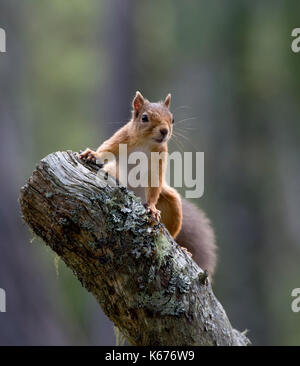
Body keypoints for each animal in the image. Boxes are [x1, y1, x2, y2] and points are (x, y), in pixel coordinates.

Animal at [79, 93, 216, 276]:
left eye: (172, 119)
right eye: (144, 118)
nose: (164, 131)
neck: (146, 142)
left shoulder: (159, 160)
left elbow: (155, 184)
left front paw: (151, 207)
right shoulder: (120, 138)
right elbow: (106, 150)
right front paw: (93, 154)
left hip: (172, 205)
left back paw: (183, 248)